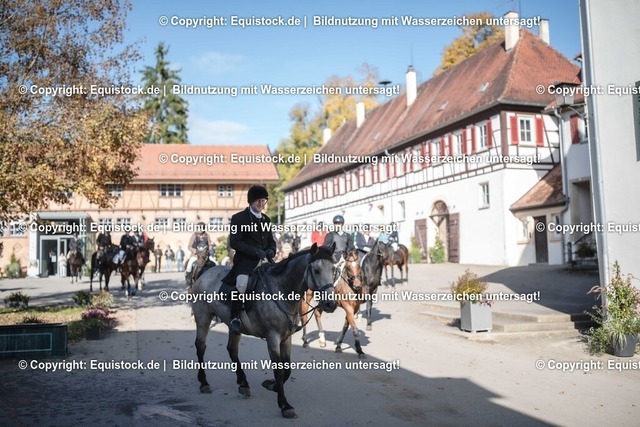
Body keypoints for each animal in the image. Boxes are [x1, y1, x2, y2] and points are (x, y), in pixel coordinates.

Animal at [192, 243, 338, 419]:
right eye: (316, 270)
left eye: (333, 269)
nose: (331, 304)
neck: (282, 290)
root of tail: (205, 273)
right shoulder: (272, 338)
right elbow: (279, 371)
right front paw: (284, 404)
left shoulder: (286, 338)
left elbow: (287, 368)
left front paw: (272, 385)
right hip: (203, 318)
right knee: (200, 346)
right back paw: (204, 382)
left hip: (234, 327)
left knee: (232, 350)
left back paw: (243, 383)